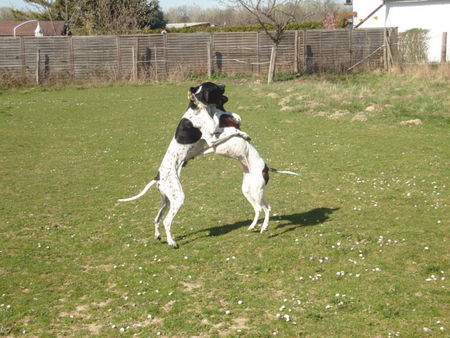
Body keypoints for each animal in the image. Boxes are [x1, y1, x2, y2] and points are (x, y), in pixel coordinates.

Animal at [118, 82, 250, 246]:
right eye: (215, 87)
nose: (224, 84)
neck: (200, 108)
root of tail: (158, 177)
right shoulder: (212, 138)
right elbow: (231, 129)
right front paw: (244, 134)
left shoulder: (212, 138)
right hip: (178, 198)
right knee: (166, 221)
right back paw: (171, 242)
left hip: (167, 201)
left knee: (157, 218)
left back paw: (158, 235)